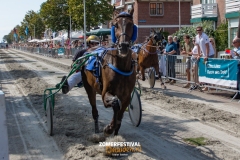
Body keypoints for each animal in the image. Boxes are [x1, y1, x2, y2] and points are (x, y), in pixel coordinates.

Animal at [81, 7, 136, 135]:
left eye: (131, 24)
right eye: (115, 25)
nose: (123, 46)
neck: (121, 67)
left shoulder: (126, 96)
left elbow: (120, 113)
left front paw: (114, 129)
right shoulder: (105, 93)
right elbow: (116, 103)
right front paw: (109, 128)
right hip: (88, 87)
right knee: (94, 109)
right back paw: (97, 129)